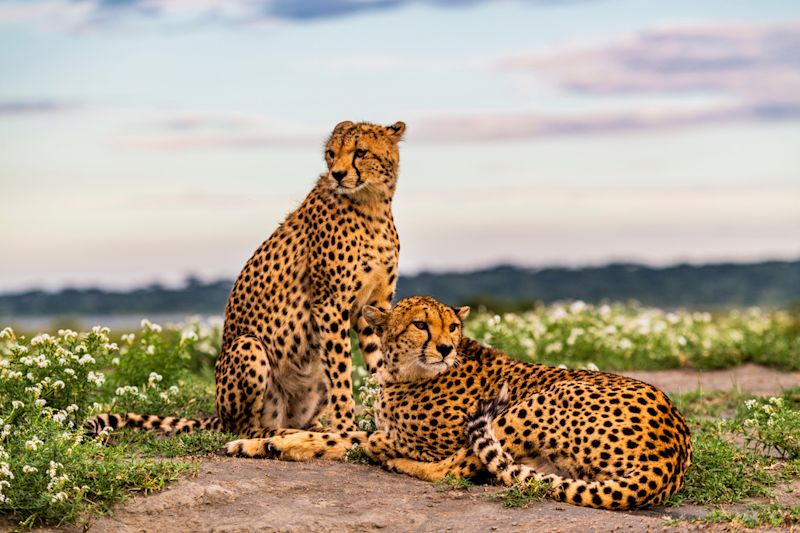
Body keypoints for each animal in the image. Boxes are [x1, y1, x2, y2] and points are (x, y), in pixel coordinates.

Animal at [87, 120, 406, 436]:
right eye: (331, 153)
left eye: (360, 152)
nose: (337, 174)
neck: (371, 204)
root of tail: (218, 415)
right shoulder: (330, 304)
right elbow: (342, 374)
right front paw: (346, 428)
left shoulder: (374, 304)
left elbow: (379, 364)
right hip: (248, 347)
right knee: (248, 428)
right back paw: (283, 434)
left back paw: (312, 429)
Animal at [228, 298, 692, 510]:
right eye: (420, 324)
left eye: (452, 326)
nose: (446, 347)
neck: (402, 374)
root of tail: (672, 452)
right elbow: (333, 436)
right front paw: (265, 441)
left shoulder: (426, 438)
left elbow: (362, 441)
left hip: (533, 403)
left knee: (455, 469)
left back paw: (394, 462)